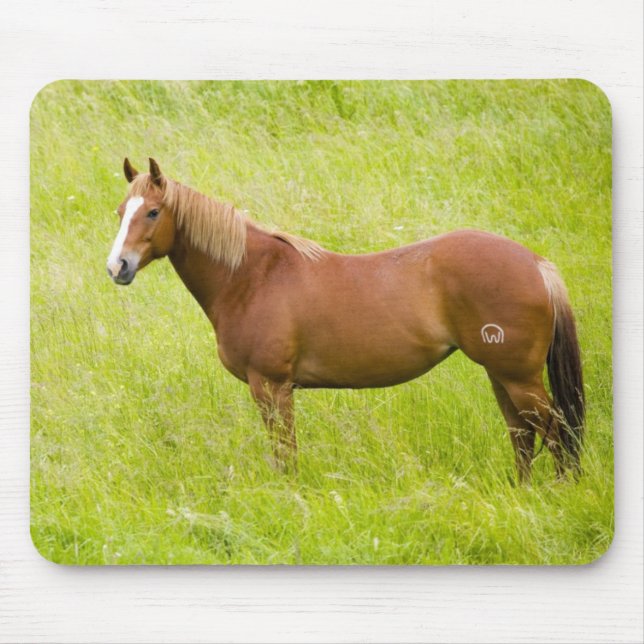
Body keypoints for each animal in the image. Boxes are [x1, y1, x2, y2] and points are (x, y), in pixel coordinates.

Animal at [107, 157, 585, 483]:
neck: (252, 276)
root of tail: (536, 263)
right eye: (120, 212)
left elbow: (285, 453)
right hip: (500, 375)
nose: (117, 267)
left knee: (555, 432)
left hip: (518, 377)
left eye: (152, 212)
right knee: (522, 434)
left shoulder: (271, 386)